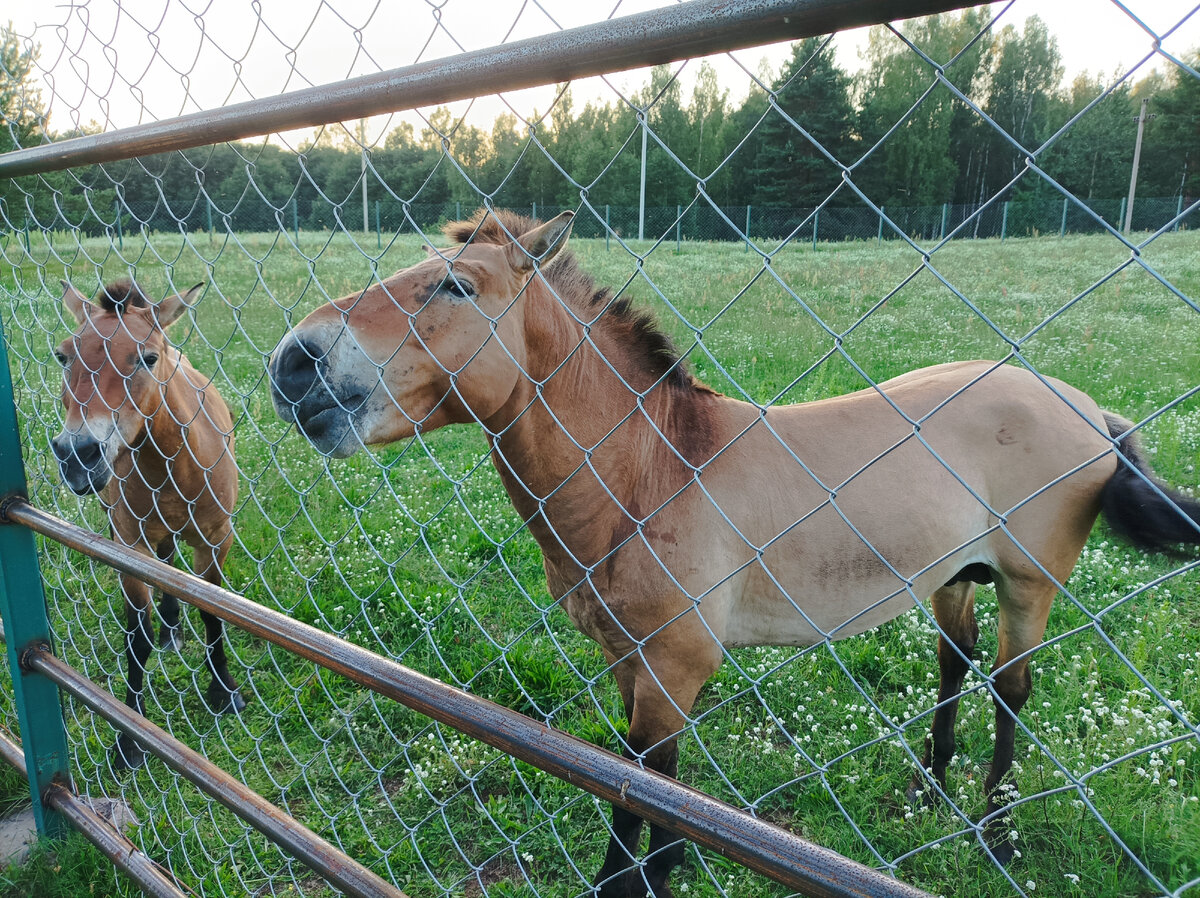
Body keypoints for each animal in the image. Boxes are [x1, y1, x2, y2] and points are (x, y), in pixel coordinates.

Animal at [52, 277, 244, 768]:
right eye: (64, 356)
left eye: (148, 357)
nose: (78, 455)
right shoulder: (130, 548)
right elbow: (136, 638)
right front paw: (129, 738)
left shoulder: (216, 541)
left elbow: (212, 614)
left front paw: (224, 692)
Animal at [267, 212, 1195, 897]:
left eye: (455, 285)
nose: (294, 361)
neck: (653, 471)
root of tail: (1086, 407)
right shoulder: (632, 662)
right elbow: (653, 778)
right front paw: (670, 861)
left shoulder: (675, 665)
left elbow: (643, 782)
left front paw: (637, 878)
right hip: (952, 578)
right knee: (953, 661)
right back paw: (931, 789)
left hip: (1027, 586)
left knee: (1011, 687)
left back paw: (996, 830)